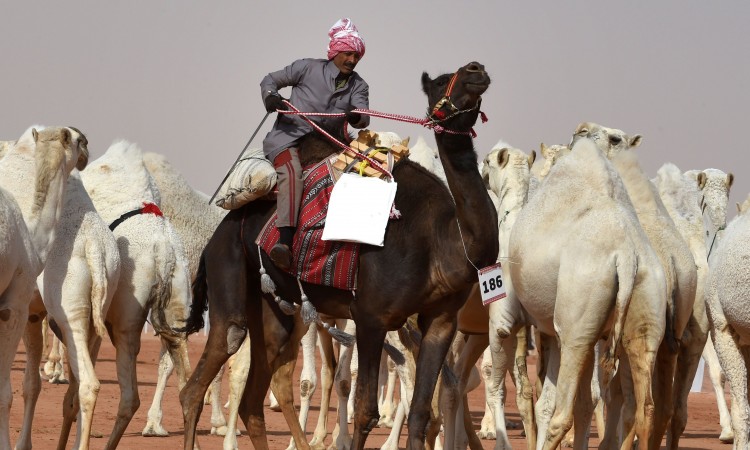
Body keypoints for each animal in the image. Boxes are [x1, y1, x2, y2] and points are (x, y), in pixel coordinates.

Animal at [180, 61, 500, 450]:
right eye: (440, 82)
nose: (476, 69)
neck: (441, 239)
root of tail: (216, 235)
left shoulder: (441, 321)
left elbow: (421, 413)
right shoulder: (371, 316)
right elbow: (366, 412)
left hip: (274, 310)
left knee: (252, 400)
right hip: (229, 272)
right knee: (205, 372)